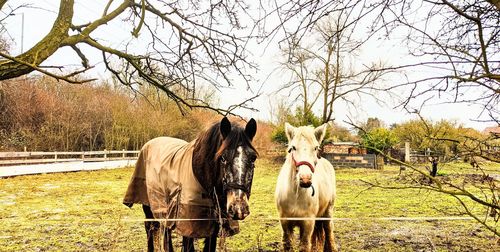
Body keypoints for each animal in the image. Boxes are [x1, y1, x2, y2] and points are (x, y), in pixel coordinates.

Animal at [124, 117, 258, 251]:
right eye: (222, 158)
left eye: (253, 158)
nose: (239, 208)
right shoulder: (188, 226)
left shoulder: (213, 230)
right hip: (148, 206)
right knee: (149, 228)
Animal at [276, 122, 338, 252]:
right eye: (293, 148)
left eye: (315, 148)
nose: (305, 179)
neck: (295, 194)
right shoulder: (285, 222)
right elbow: (288, 244)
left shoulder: (307, 223)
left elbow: (304, 246)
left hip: (328, 211)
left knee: (328, 230)